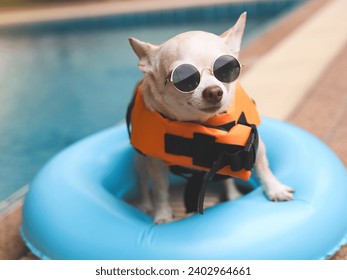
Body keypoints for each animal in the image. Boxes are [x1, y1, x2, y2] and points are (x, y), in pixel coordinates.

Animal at [128, 12, 294, 223]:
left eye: (227, 68)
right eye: (183, 78)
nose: (214, 92)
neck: (202, 123)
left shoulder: (252, 142)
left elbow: (263, 167)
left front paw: (275, 189)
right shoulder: (155, 163)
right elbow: (160, 190)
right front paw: (163, 214)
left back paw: (234, 195)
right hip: (139, 162)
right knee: (143, 184)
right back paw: (146, 205)